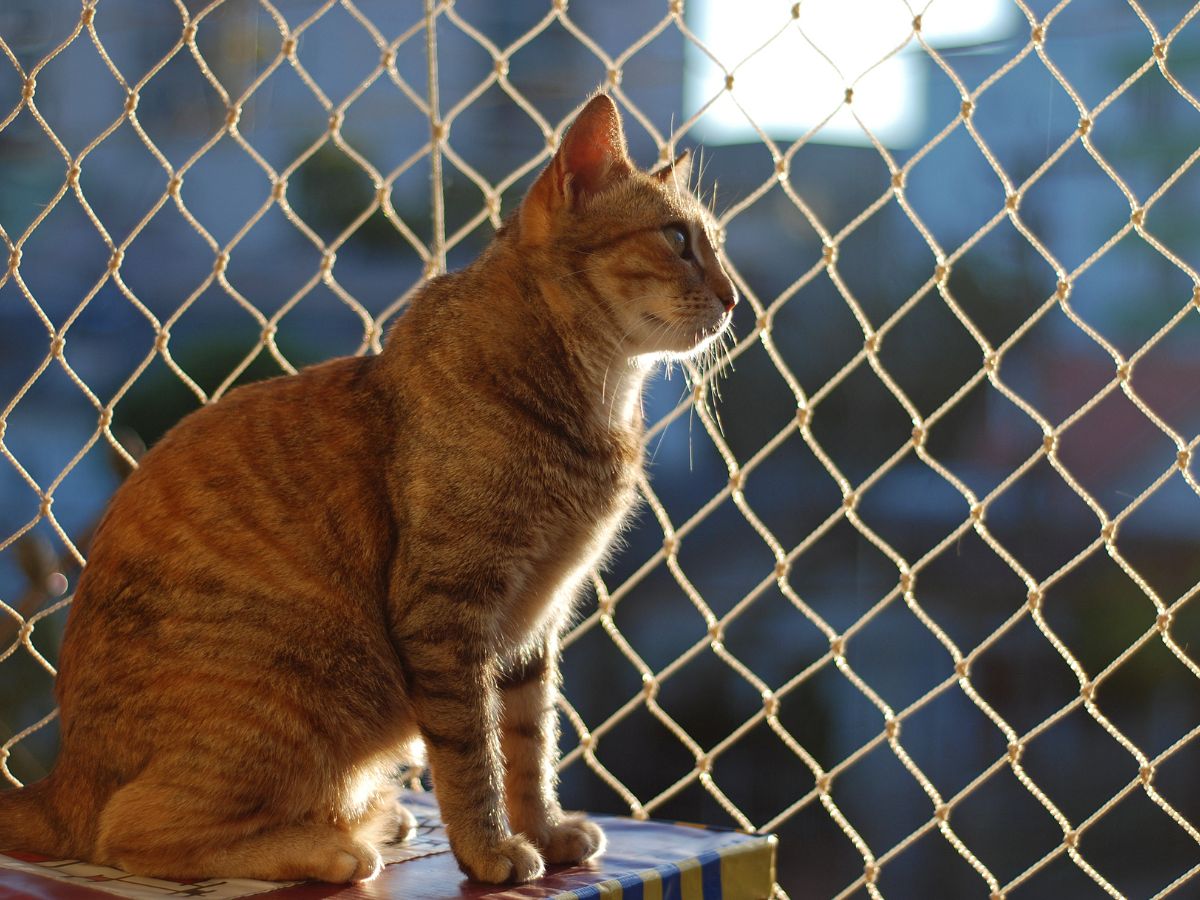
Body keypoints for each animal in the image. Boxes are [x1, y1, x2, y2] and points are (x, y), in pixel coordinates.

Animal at [0, 93, 734, 888]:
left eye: (714, 243)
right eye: (677, 239)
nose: (734, 299)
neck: (593, 401)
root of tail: (63, 778)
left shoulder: (534, 625)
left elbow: (529, 744)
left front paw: (542, 829)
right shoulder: (448, 612)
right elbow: (473, 755)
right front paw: (491, 849)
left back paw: (375, 819)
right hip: (293, 689)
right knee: (132, 834)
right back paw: (331, 846)